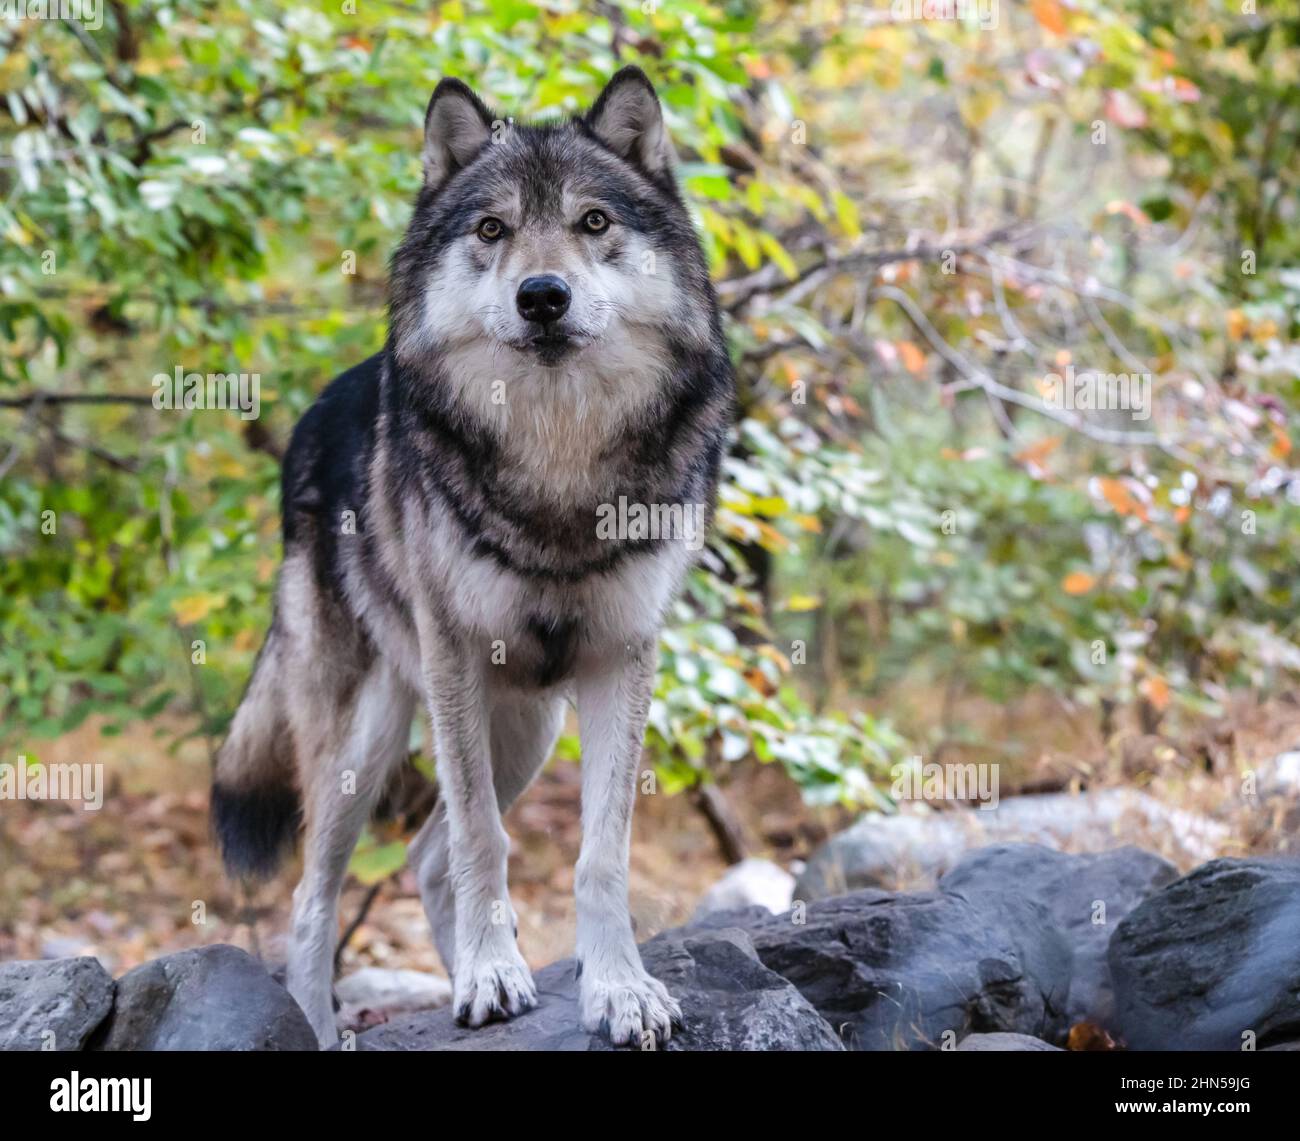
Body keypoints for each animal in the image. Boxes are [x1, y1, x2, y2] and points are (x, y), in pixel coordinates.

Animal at [209, 69, 738, 1055]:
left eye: (594, 222)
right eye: (492, 229)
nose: (542, 295)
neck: (557, 457)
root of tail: (311, 417)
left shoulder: (622, 655)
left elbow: (599, 852)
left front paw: (617, 989)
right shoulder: (455, 653)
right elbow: (483, 839)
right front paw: (493, 977)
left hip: (527, 727)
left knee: (424, 859)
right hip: (367, 735)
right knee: (314, 894)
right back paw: (337, 1017)